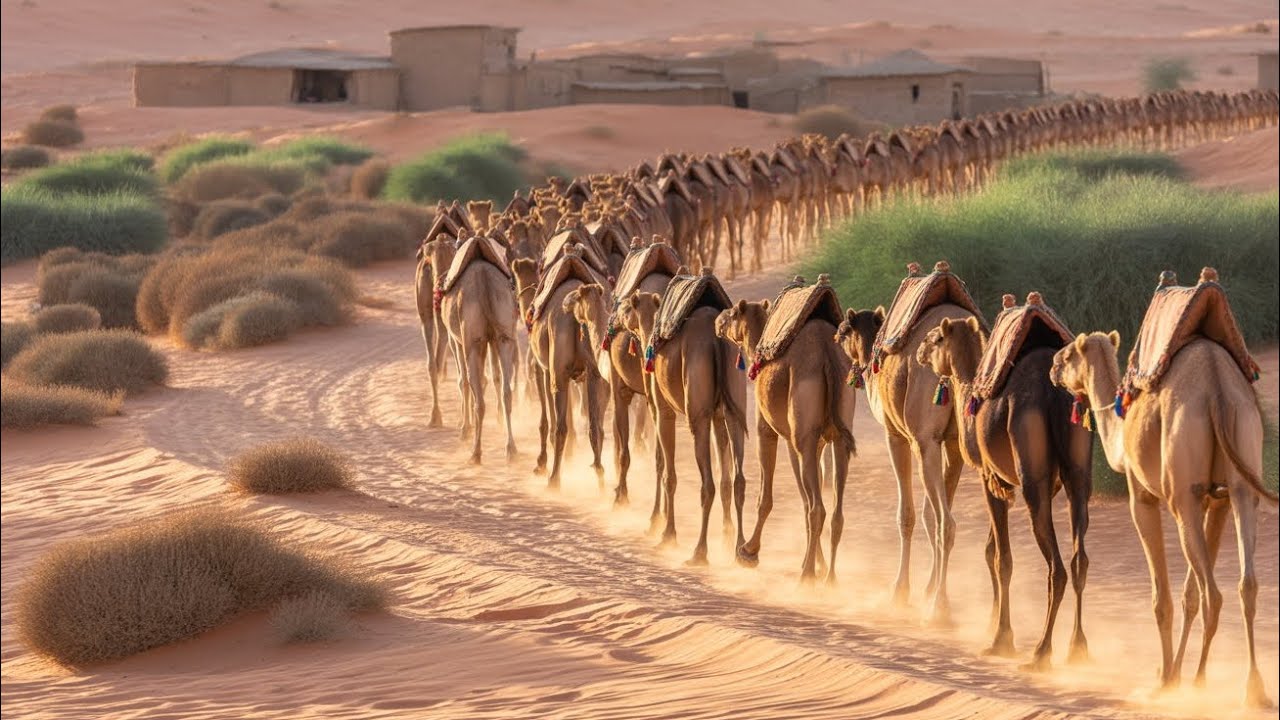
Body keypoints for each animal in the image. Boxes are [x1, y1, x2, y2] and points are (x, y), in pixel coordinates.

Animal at [615, 272, 748, 564]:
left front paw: (665, 532)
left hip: (697, 414)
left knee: (706, 483)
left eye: (629, 307)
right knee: (738, 480)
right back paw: (742, 551)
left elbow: (665, 469)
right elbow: (725, 478)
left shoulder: (661, 409)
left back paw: (699, 552)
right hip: (735, 404)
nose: (617, 314)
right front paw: (726, 536)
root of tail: (716, 340)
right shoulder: (718, 416)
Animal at [715, 287, 856, 581]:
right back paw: (830, 578)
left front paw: (748, 552)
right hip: (837, 435)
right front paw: (815, 563)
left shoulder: (768, 429)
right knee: (834, 511)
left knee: (817, 509)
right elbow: (805, 498)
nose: (718, 320)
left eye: (733, 314)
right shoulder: (809, 443)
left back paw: (806, 578)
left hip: (803, 431)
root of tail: (827, 355)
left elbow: (766, 498)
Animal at [915, 298, 1092, 670]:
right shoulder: (1008, 485)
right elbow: (991, 549)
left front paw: (1000, 639)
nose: (920, 350)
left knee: (1056, 566)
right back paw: (1077, 648)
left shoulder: (989, 476)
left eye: (936, 337)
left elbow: (1002, 558)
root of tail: (1054, 393)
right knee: (1079, 559)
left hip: (1033, 477)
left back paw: (1041, 651)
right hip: (1079, 472)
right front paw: (992, 624)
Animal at [1051, 323, 1276, 705]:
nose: (1052, 366)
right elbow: (1188, 595)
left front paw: (1166, 678)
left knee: (1213, 593)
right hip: (1242, 472)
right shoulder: (1214, 501)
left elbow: (1163, 597)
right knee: (1246, 584)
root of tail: (1217, 389)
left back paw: (1198, 684)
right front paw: (1175, 673)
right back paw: (1252, 690)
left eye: (1068, 355)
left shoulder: (1141, 496)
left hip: (1181, 491)